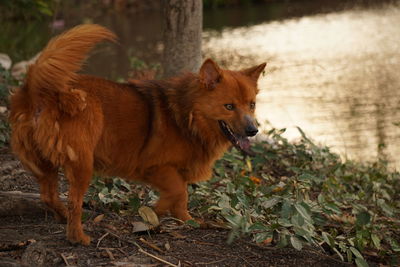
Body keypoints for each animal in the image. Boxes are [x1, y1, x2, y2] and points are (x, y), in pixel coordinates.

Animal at [8, 24, 266, 246]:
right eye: (229, 106)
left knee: (48, 196)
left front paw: (185, 220)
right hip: (82, 164)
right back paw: (77, 236)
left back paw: (61, 216)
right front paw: (156, 211)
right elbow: (177, 191)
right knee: (73, 202)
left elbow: (181, 197)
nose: (253, 130)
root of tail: (39, 91)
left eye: (252, 104)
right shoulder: (154, 167)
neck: (187, 116)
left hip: (44, 164)